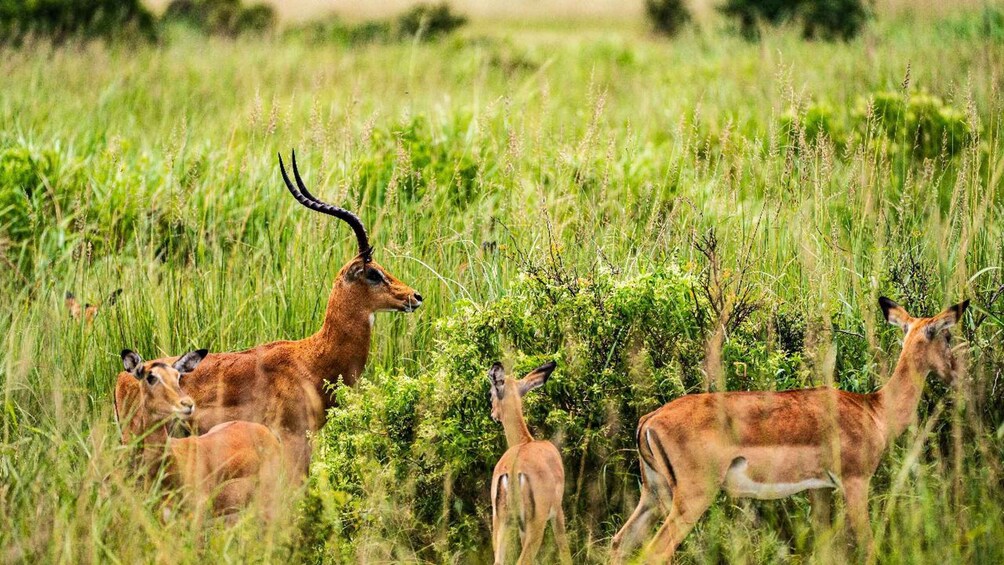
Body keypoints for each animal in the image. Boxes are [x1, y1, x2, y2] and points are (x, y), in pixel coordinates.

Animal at [487, 363, 570, 565]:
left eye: (491, 394)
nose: (493, 414)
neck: (526, 441)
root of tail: (512, 470)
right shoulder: (557, 512)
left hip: (502, 523)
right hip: (535, 525)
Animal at [610, 299, 971, 561]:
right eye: (947, 335)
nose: (959, 375)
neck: (875, 409)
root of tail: (649, 420)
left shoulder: (820, 488)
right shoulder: (855, 482)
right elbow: (868, 546)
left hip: (653, 495)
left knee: (619, 542)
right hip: (691, 498)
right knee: (654, 553)